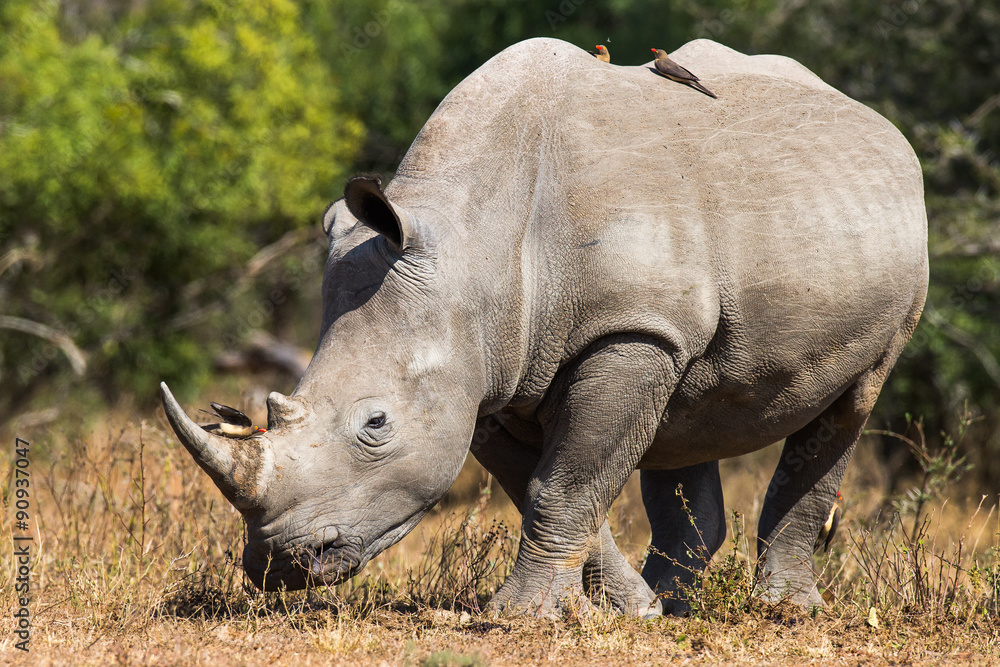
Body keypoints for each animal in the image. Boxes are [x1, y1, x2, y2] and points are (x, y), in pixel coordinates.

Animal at [160, 38, 927, 617]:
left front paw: (520, 616)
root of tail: (875, 121)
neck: (470, 242)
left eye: (375, 424)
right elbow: (549, 481)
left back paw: (785, 610)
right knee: (687, 417)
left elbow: (563, 482)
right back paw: (678, 604)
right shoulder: (490, 368)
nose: (280, 564)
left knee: (852, 400)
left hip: (890, 268)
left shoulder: (628, 332)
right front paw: (631, 610)